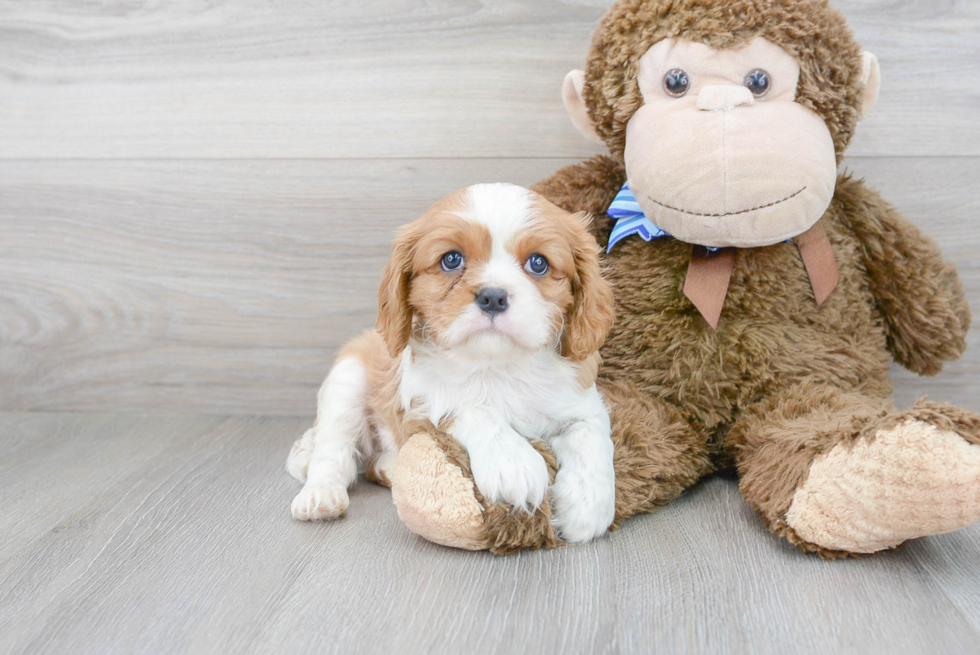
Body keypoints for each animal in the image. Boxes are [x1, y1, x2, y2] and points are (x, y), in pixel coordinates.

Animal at [288, 183, 616, 544]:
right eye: (451, 259)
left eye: (538, 263)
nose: (492, 297)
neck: (496, 367)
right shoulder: (425, 403)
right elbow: (473, 409)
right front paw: (514, 464)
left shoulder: (579, 399)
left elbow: (590, 434)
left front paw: (588, 506)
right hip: (347, 379)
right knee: (332, 451)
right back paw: (320, 495)